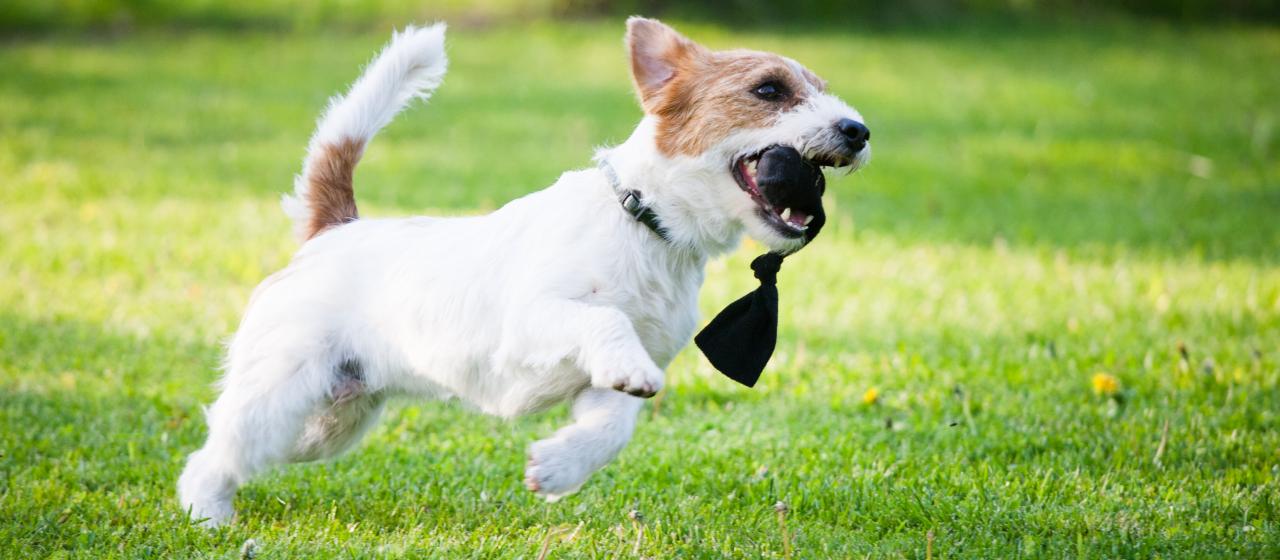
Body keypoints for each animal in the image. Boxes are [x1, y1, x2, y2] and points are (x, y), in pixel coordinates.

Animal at [177, 16, 870, 524]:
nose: (858, 130)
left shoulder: (603, 386)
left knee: (226, 446)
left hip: (329, 420)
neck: (643, 226)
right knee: (213, 454)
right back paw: (207, 518)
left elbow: (615, 424)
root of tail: (334, 229)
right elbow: (604, 322)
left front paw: (558, 467)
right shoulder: (533, 321)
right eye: (768, 90)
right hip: (279, 393)